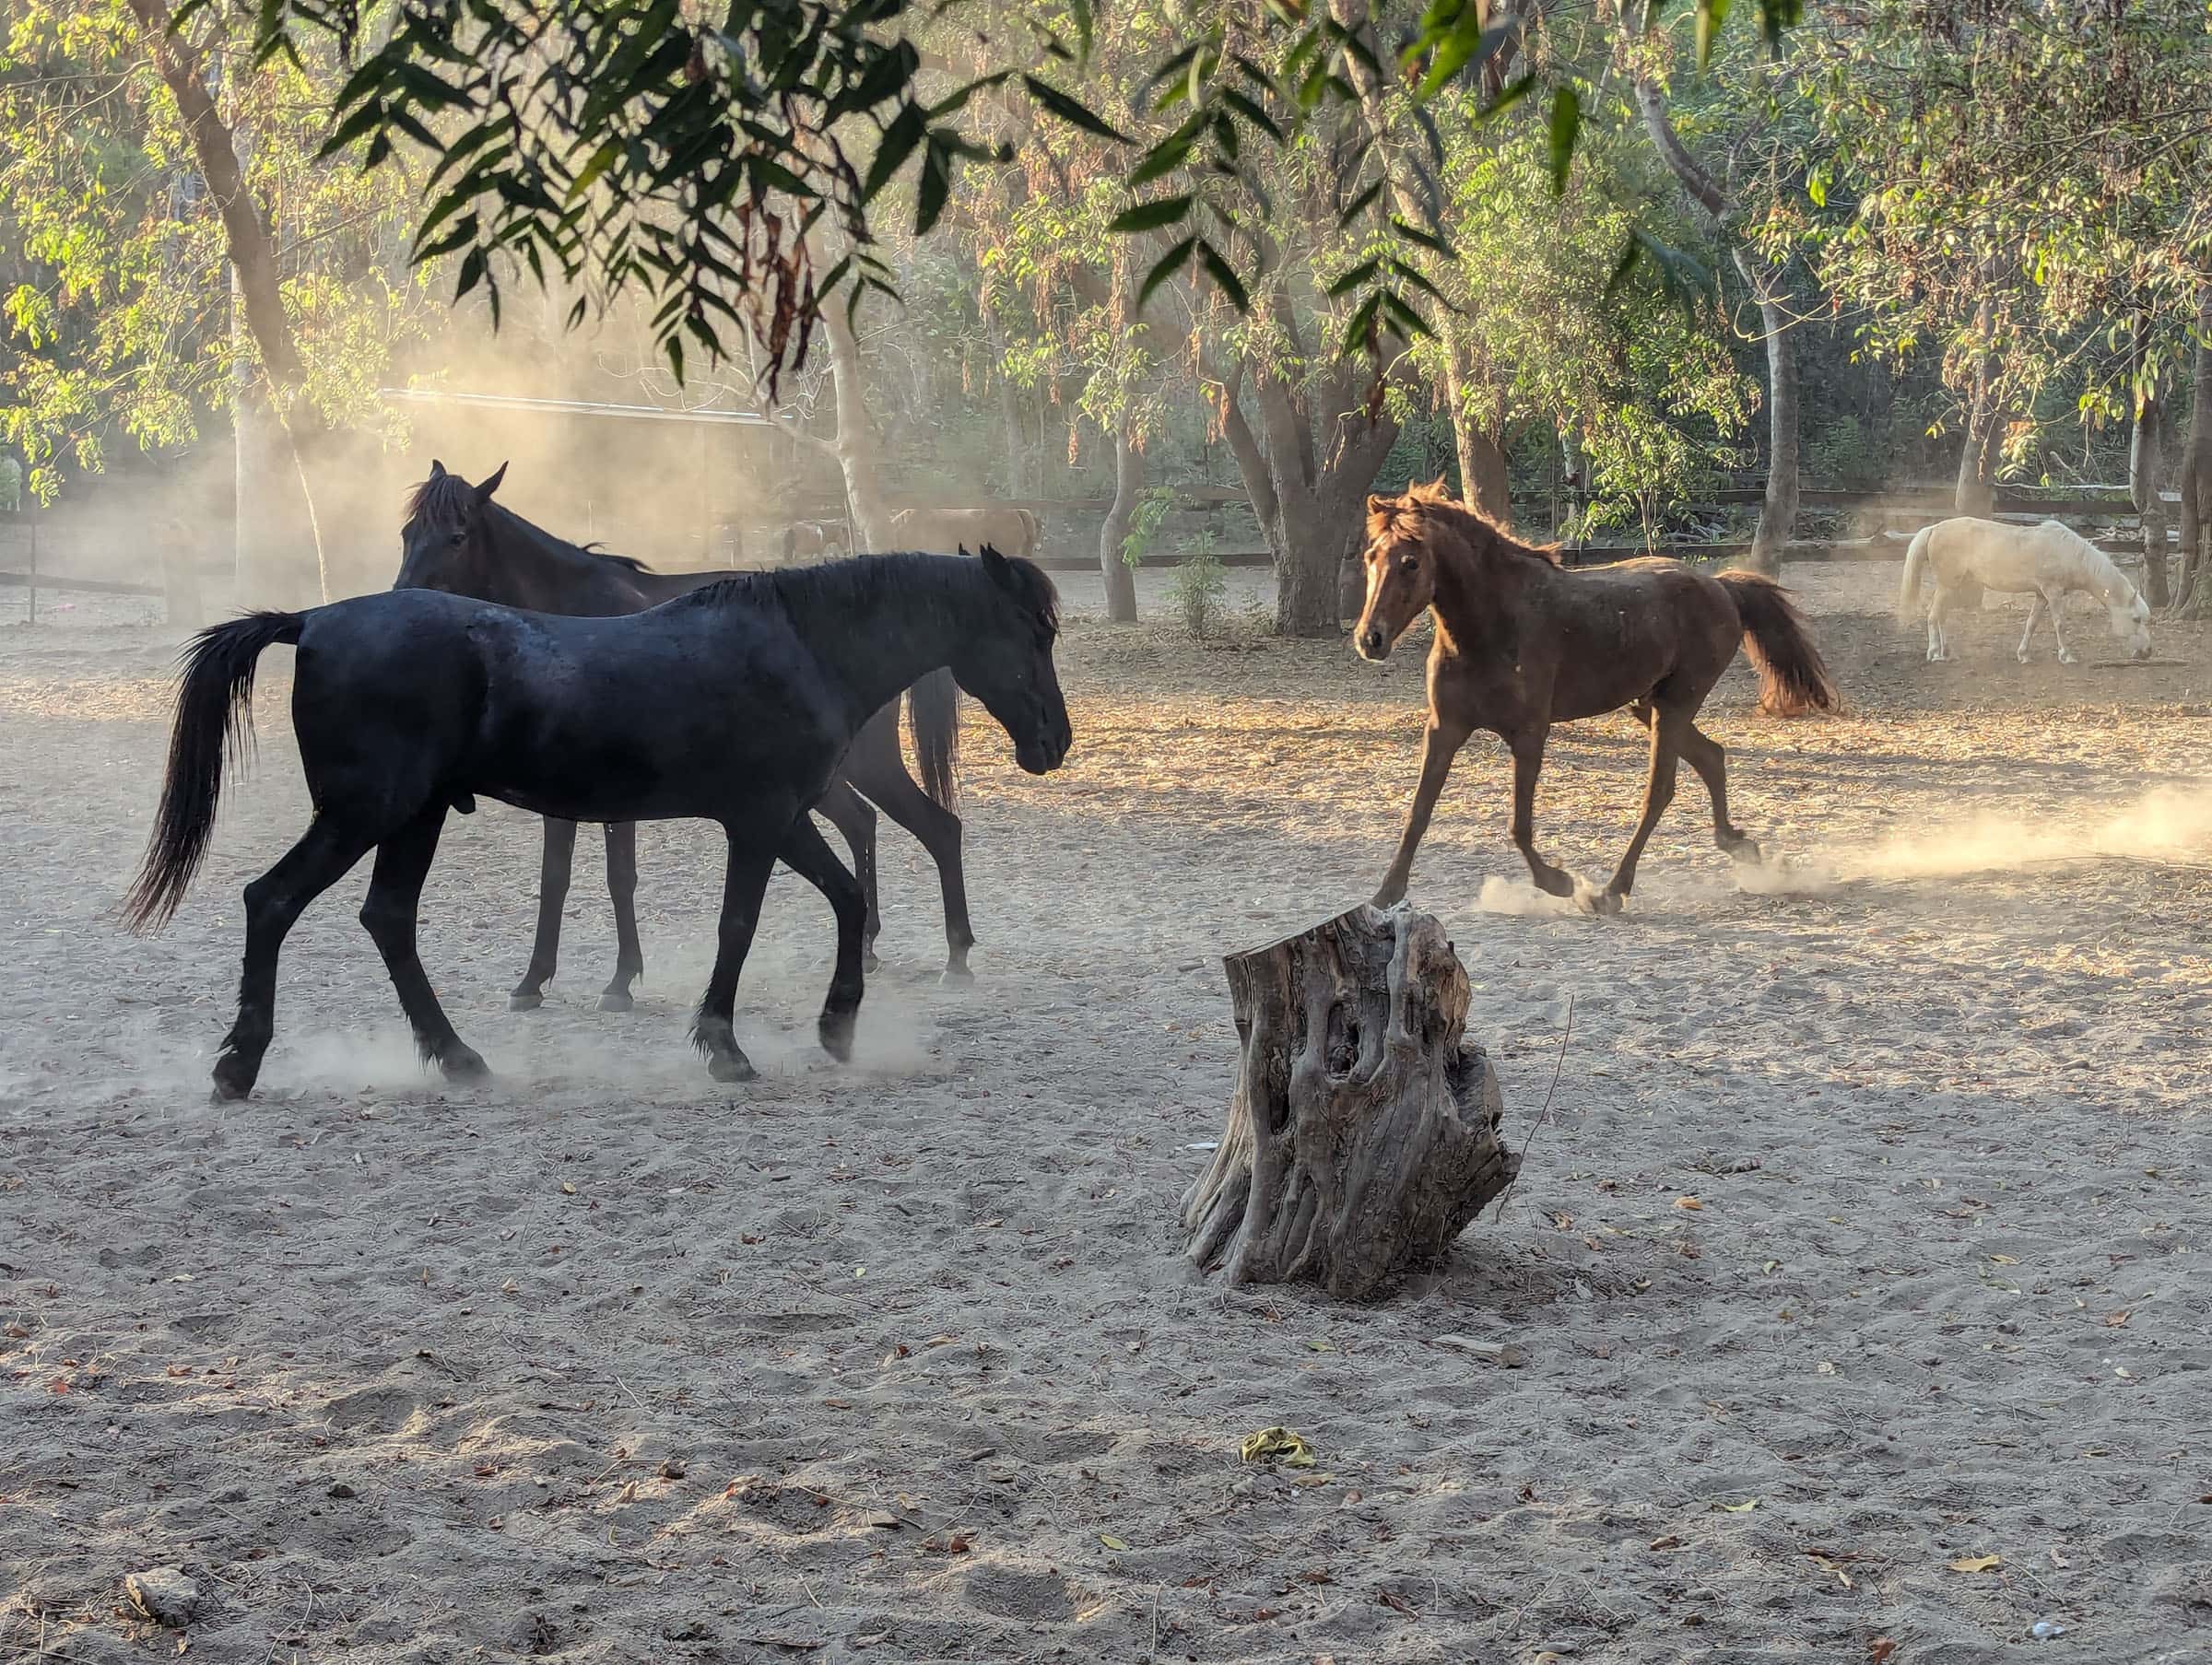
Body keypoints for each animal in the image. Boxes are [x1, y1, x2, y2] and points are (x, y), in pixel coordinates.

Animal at [121, 547, 1070, 1099]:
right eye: (1032, 629)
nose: (1054, 742)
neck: (800, 646)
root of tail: (312, 620)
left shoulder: (783, 818)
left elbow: (843, 899)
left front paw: (837, 1027)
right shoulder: (762, 821)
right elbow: (740, 926)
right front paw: (725, 1046)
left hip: (411, 819)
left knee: (386, 919)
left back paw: (459, 1059)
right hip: (367, 814)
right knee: (274, 901)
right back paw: (240, 1065)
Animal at [396, 463, 981, 1009]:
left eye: (457, 536)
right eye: (407, 534)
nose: (402, 601)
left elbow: (619, 877)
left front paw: (620, 980)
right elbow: (554, 879)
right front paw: (534, 980)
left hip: (867, 764)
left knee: (938, 828)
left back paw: (956, 957)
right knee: (863, 823)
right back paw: (868, 947)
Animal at [1354, 481, 1838, 915]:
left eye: (1410, 562)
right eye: (1371, 557)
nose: (1369, 639)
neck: (1493, 627)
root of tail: (1720, 586)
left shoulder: (1529, 733)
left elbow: (1519, 825)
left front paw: (1559, 882)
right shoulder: (1445, 728)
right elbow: (1418, 813)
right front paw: (1384, 896)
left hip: (1676, 704)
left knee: (1660, 791)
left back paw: (1610, 891)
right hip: (1648, 704)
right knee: (1711, 757)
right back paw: (1740, 846)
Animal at [1897, 516, 2153, 665]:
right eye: (2136, 619)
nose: (2147, 652)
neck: (2070, 553)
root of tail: (1933, 529)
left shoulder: (2041, 595)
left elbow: (2032, 623)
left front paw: (2023, 655)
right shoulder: (2053, 592)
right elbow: (2059, 624)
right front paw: (2067, 656)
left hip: (1953, 586)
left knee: (1941, 616)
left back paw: (1947, 651)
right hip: (1947, 584)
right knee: (1933, 615)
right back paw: (1934, 653)